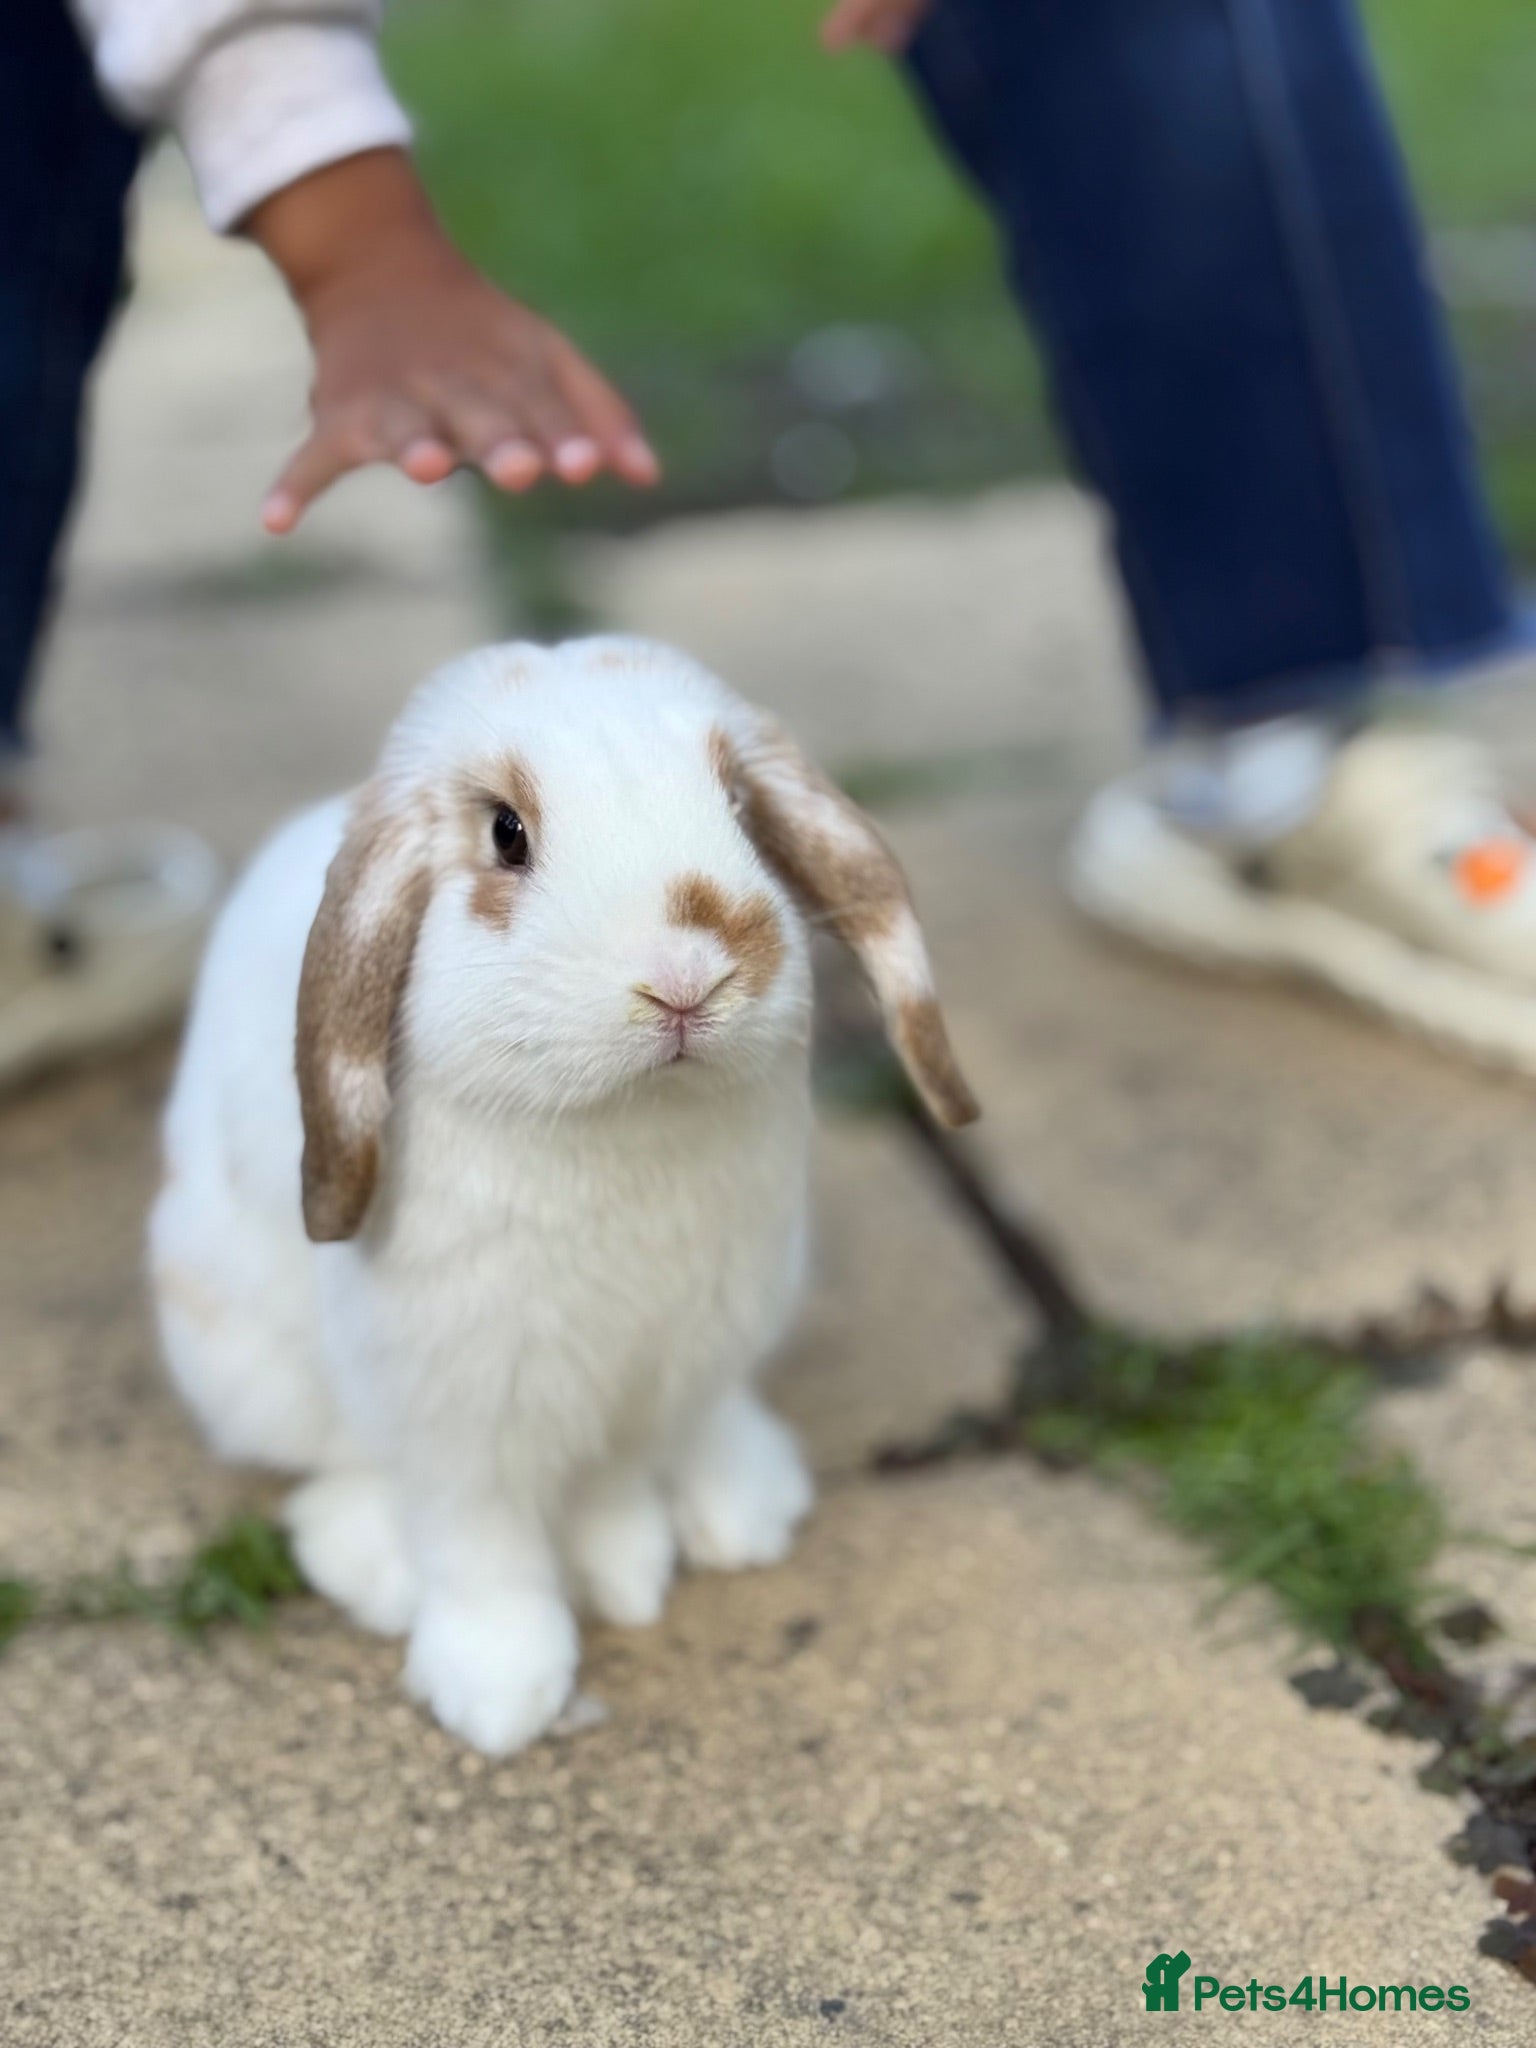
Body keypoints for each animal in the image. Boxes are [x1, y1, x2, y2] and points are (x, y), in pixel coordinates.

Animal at [148, 636, 977, 1755]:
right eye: (508, 833)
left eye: (739, 807)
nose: (688, 975)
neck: (626, 1125)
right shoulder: (460, 1404)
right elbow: (481, 1543)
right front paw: (500, 1694)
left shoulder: (657, 1362)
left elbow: (618, 1485)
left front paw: (629, 1572)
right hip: (238, 1352)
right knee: (329, 1461)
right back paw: (375, 1562)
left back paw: (743, 1503)